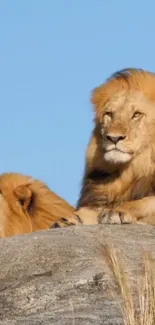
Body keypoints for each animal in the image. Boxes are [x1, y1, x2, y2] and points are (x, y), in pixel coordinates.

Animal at [52, 67, 155, 227]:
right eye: (109, 114)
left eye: (137, 114)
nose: (114, 138)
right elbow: (89, 211)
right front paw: (68, 219)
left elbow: (145, 202)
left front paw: (117, 211)